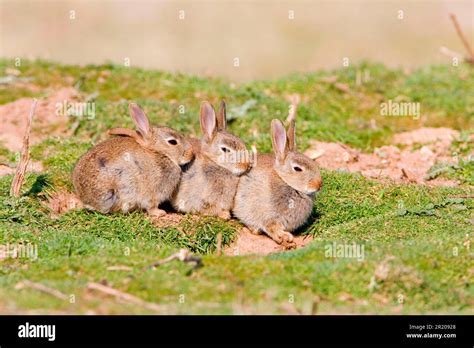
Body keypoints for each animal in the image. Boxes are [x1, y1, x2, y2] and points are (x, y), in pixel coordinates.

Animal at [233, 119, 322, 247]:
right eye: (297, 169)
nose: (319, 185)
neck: (285, 181)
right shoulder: (268, 217)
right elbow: (271, 228)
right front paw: (285, 238)